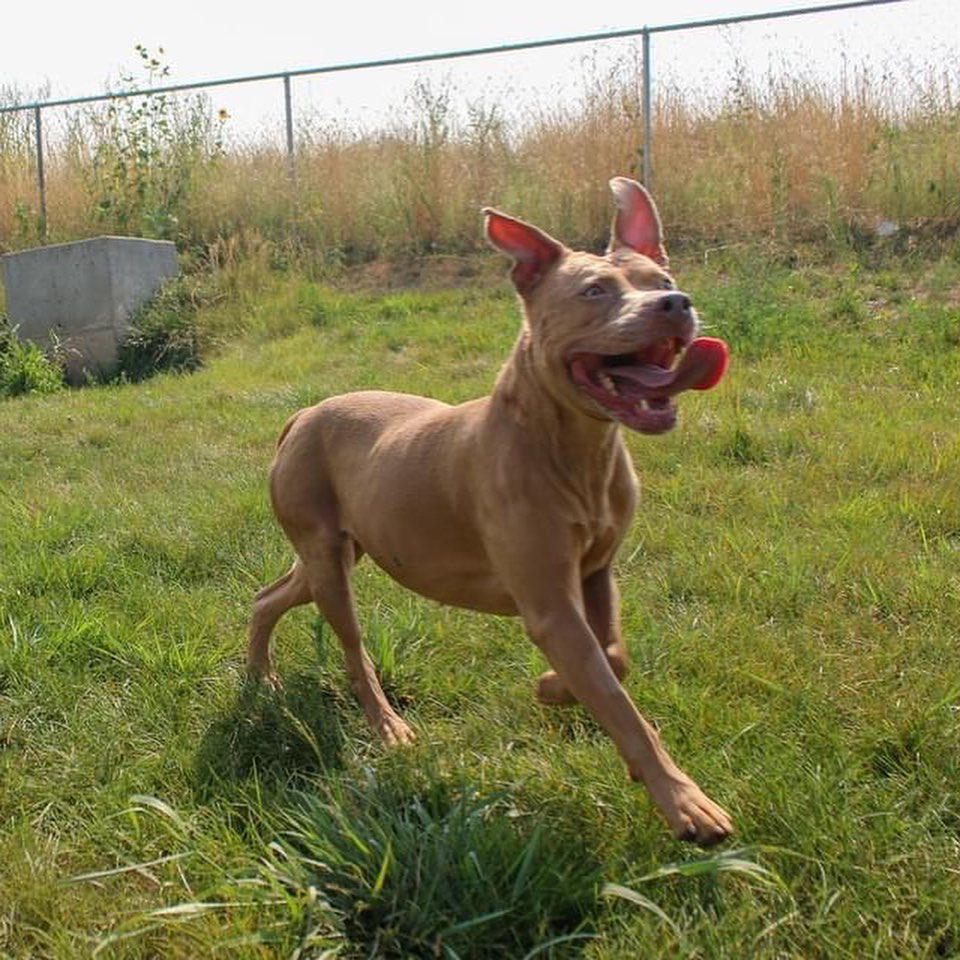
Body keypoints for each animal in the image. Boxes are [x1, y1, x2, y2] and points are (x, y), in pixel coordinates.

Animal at [249, 176, 736, 844]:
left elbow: (613, 658)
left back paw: (259, 677)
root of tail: (303, 414)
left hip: (336, 554)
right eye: (594, 290)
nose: (677, 303)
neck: (572, 444)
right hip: (329, 564)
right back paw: (386, 725)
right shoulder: (551, 607)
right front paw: (683, 800)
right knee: (353, 651)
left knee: (268, 596)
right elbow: (615, 700)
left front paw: (556, 687)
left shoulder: (595, 573)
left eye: (662, 278)